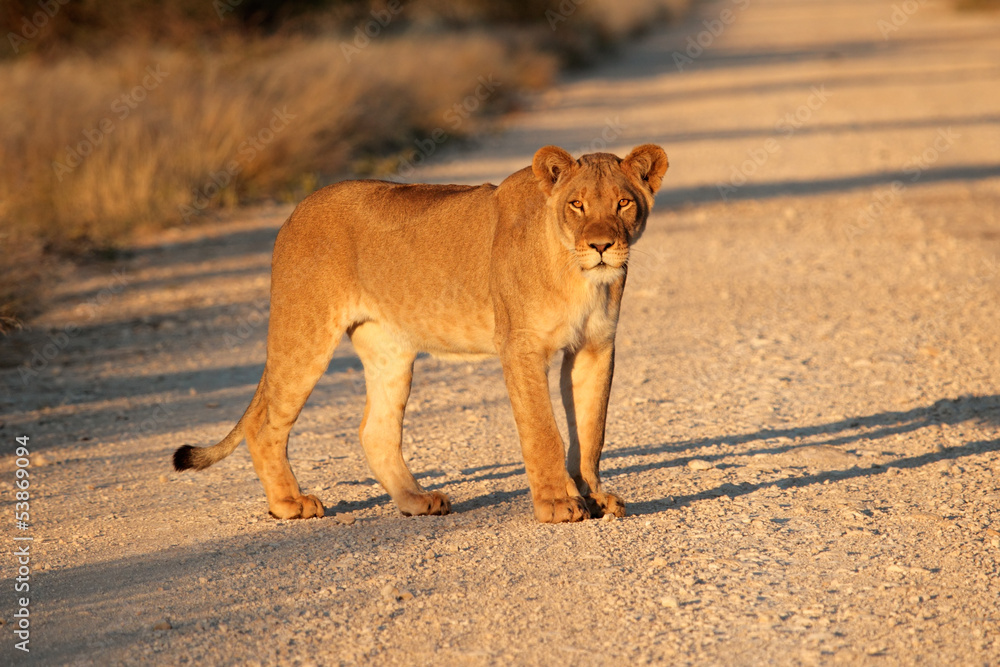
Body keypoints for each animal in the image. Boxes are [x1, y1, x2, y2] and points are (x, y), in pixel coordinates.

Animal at [173, 144, 668, 523]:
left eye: (623, 203)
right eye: (577, 204)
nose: (601, 246)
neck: (580, 276)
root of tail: (295, 212)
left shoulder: (595, 346)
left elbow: (591, 428)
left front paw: (595, 496)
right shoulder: (522, 346)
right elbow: (543, 430)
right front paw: (557, 504)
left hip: (390, 349)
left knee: (375, 430)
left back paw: (416, 500)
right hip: (304, 333)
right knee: (264, 424)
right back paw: (289, 503)